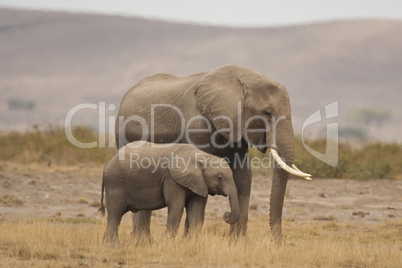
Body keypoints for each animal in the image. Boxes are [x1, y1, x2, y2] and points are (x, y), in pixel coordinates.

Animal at [99, 141, 240, 244]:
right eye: (219, 178)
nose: (226, 214)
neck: (202, 156)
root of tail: (107, 162)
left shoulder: (200, 182)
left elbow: (197, 210)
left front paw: (193, 244)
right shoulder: (172, 179)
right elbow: (177, 206)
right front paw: (169, 244)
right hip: (115, 182)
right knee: (115, 213)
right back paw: (114, 245)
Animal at [114, 65, 310, 243]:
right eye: (267, 113)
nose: (278, 243)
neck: (244, 79)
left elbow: (243, 176)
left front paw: (237, 244)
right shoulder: (196, 124)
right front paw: (190, 242)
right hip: (123, 135)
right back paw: (142, 242)